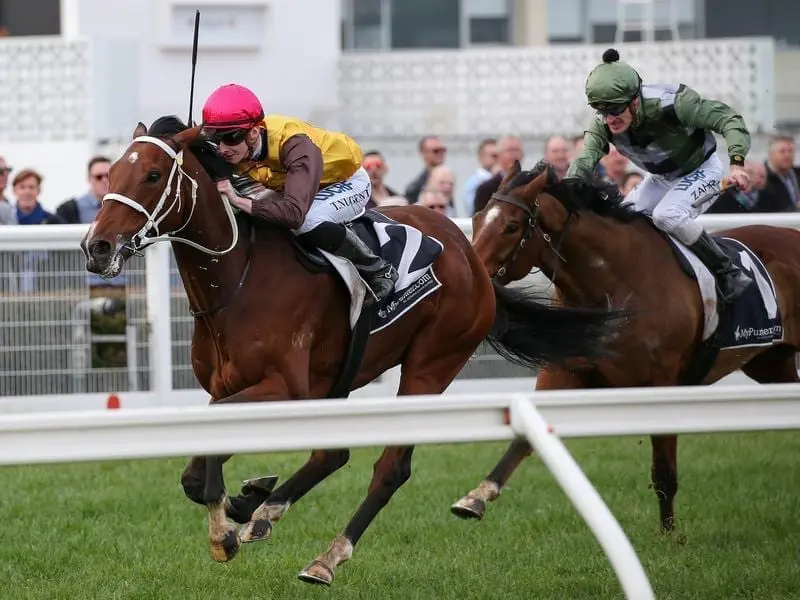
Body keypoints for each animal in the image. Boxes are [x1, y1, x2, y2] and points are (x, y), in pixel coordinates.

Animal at [79, 118, 624, 584]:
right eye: (113, 172)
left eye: (152, 175)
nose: (97, 248)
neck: (237, 277)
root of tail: (469, 252)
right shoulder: (231, 389)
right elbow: (197, 472)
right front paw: (236, 510)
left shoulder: (286, 388)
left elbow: (209, 469)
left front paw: (225, 531)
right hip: (341, 376)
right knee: (332, 452)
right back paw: (262, 508)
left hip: (431, 365)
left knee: (389, 470)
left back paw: (324, 557)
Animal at [454, 159, 796, 528]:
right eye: (477, 218)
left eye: (512, 226)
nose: (472, 276)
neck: (616, 282)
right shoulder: (564, 370)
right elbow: (524, 437)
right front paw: (475, 497)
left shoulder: (663, 384)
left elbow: (664, 474)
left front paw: (669, 536)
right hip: (771, 364)